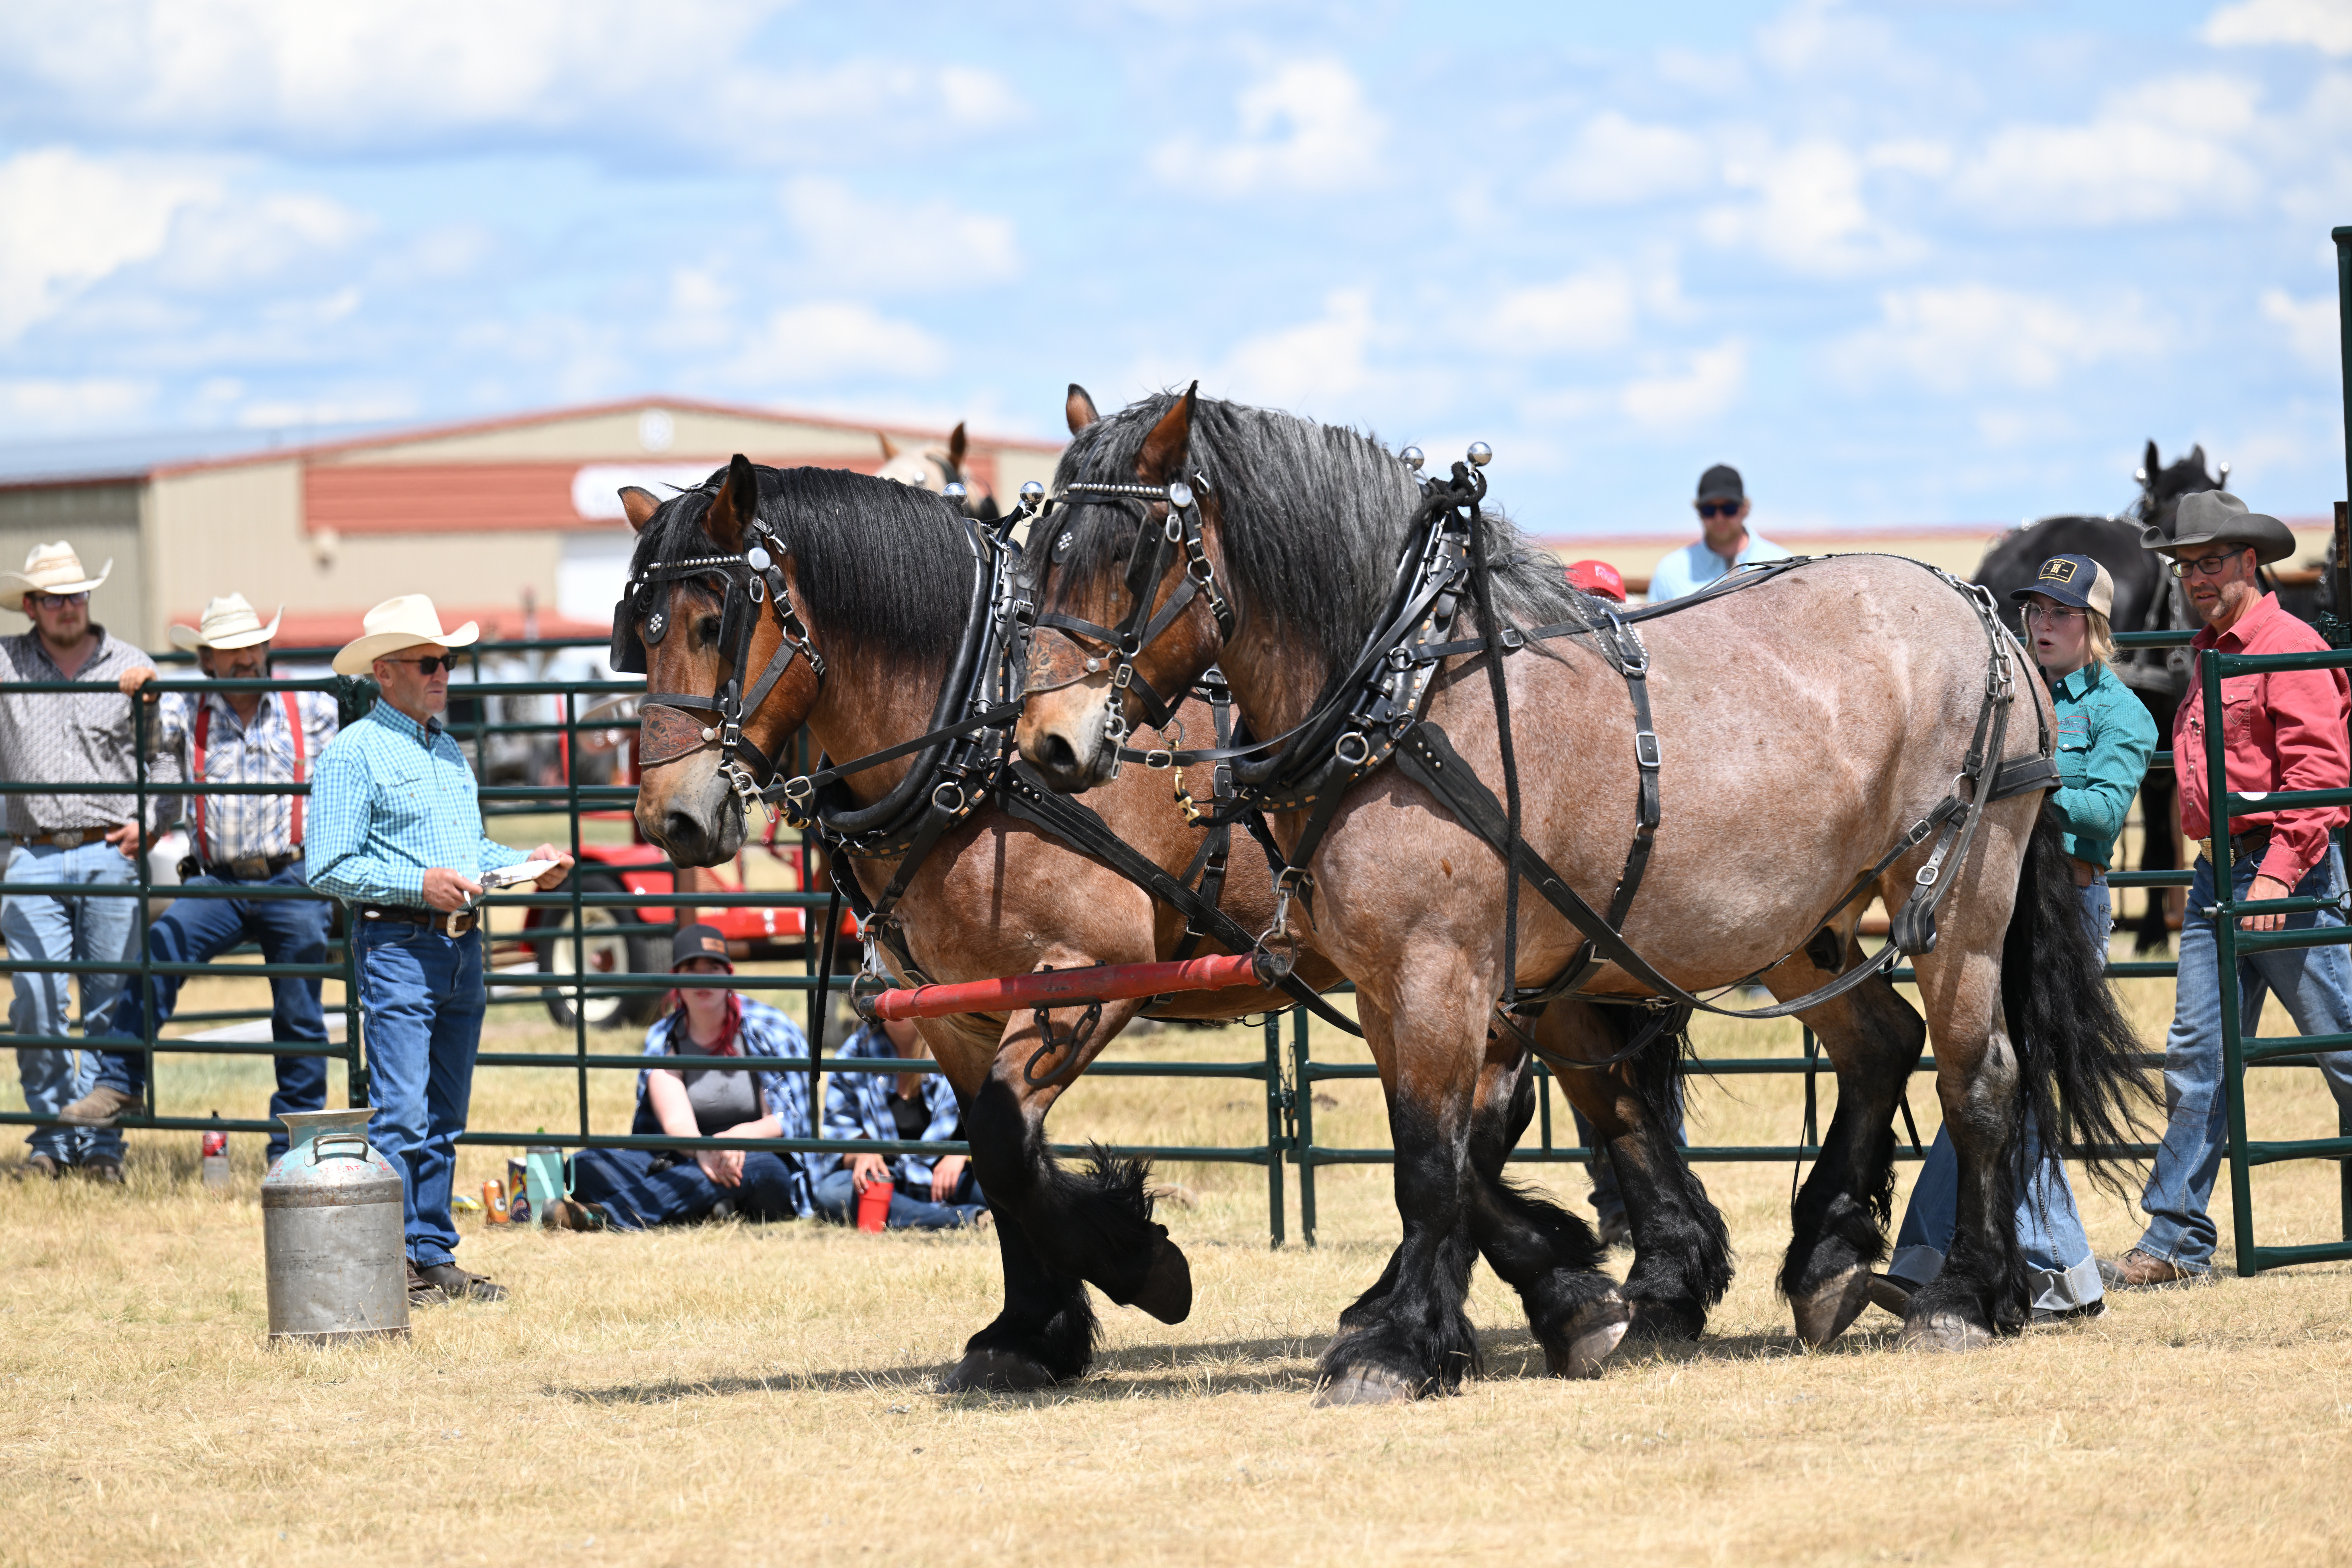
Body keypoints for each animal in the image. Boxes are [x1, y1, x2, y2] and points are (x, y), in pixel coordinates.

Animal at [617, 447, 1348, 1392]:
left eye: (713, 625)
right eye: (642, 635)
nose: (669, 818)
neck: (980, 748)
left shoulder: (1087, 975)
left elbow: (1003, 1144)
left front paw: (1142, 1263)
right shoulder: (959, 1008)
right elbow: (998, 1161)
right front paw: (1029, 1331)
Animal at [1016, 389, 2148, 1400]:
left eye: (1129, 552)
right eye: (1036, 553)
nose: (1048, 742)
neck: (1404, 697)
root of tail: (1980, 612)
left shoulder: (1440, 970)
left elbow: (1434, 1161)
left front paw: (1396, 1348)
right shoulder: (1401, 984)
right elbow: (1464, 1150)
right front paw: (1552, 1302)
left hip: (1957, 897)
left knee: (1979, 1077)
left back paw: (1962, 1296)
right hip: (1802, 926)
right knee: (1879, 1043)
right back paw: (1826, 1258)